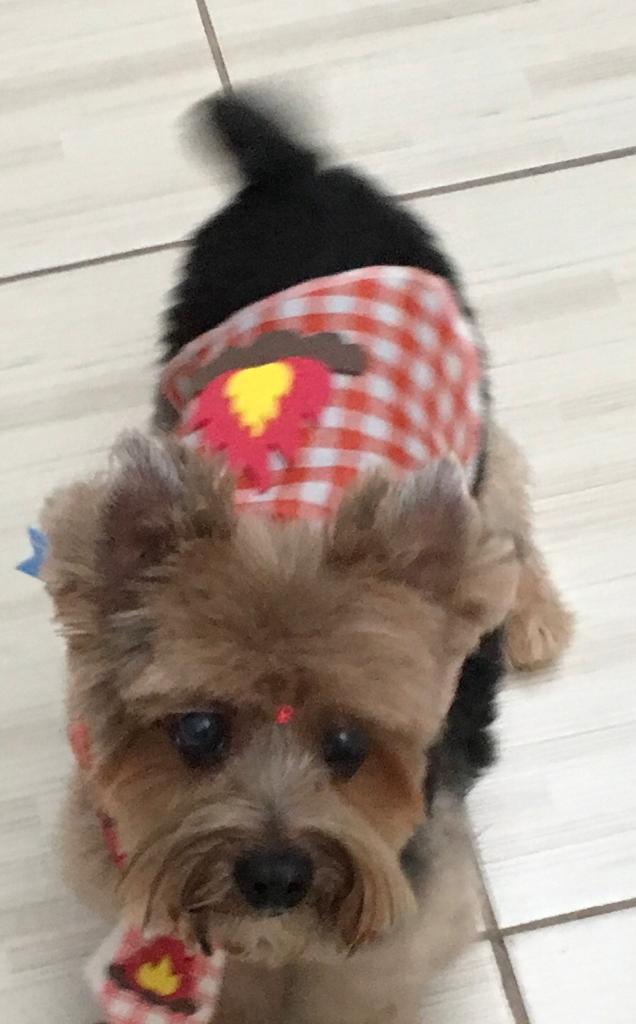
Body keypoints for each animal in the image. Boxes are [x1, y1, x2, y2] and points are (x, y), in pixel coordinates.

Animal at [41, 92, 572, 1024]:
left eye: (351, 745)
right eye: (198, 731)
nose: (276, 875)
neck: (289, 515)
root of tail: (297, 172)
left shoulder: (402, 914)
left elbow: (354, 982)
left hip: (472, 412)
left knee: (503, 496)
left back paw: (533, 615)